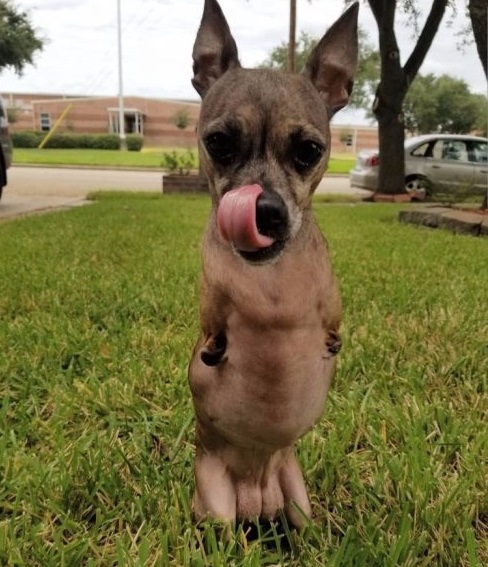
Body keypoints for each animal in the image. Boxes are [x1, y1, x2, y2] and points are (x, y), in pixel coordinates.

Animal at [188, 0, 358, 528]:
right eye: (219, 142)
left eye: (309, 151)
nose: (262, 209)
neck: (272, 286)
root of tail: (255, 500)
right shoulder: (211, 311)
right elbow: (213, 330)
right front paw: (214, 347)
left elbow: (333, 325)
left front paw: (332, 342)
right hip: (215, 505)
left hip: (298, 498)